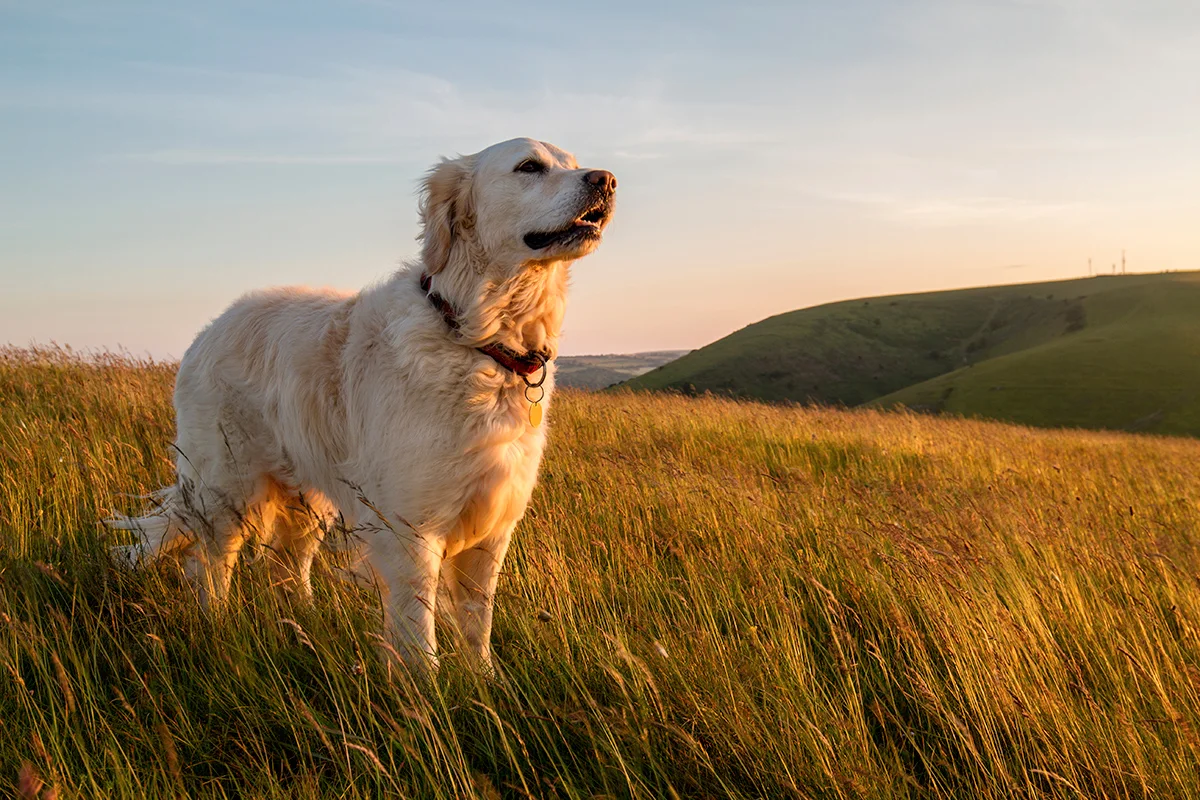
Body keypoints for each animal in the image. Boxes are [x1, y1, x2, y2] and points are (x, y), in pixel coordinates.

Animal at [110, 137, 619, 671]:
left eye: (573, 163)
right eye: (528, 166)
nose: (606, 180)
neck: (478, 337)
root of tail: (209, 329)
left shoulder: (491, 529)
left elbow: (477, 623)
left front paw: (483, 678)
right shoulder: (410, 528)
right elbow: (418, 631)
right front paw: (427, 688)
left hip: (306, 497)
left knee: (286, 566)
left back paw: (305, 628)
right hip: (227, 486)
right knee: (211, 563)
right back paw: (218, 627)